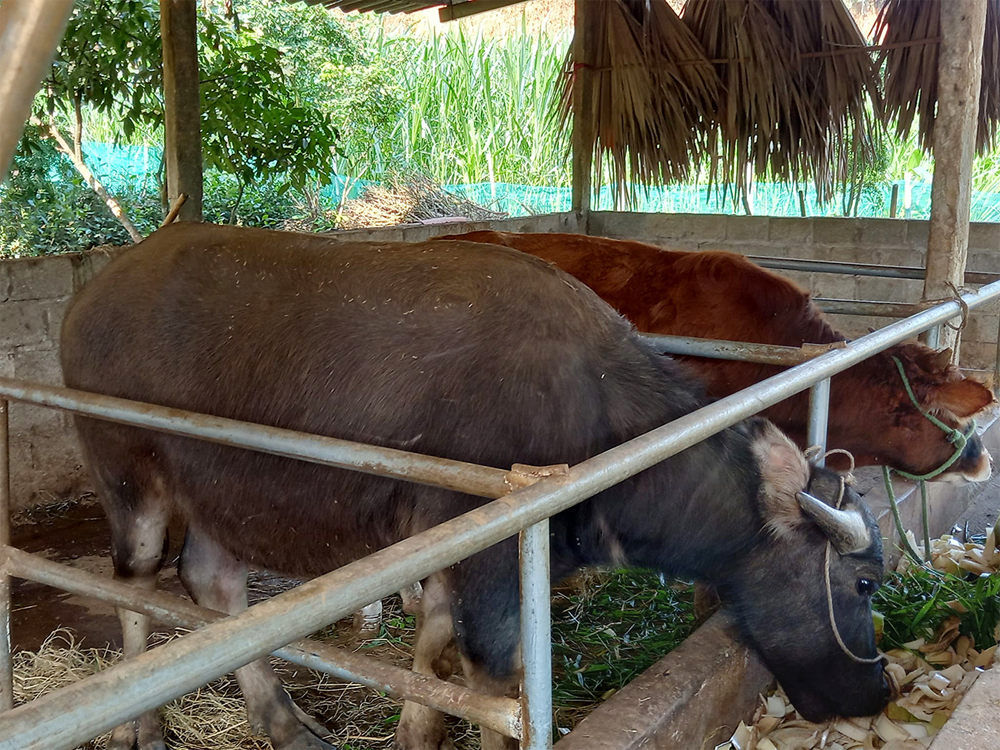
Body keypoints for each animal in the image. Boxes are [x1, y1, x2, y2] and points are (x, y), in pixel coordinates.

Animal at [60, 225, 892, 750]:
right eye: (862, 585)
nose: (880, 690)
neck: (597, 419)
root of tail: (92, 295)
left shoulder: (449, 560)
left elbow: (432, 677)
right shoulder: (492, 567)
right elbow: (498, 697)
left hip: (221, 492)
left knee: (213, 584)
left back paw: (288, 725)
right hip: (127, 473)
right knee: (132, 582)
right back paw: (144, 728)